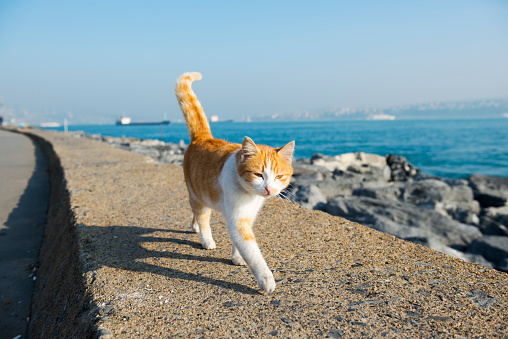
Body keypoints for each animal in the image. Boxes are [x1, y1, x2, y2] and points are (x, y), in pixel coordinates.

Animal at [176, 73, 292, 294]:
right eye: (258, 174)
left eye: (279, 177)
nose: (268, 189)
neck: (251, 196)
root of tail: (203, 137)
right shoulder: (238, 219)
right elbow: (252, 251)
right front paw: (266, 279)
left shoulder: (249, 214)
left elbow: (239, 243)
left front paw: (237, 257)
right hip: (197, 194)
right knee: (202, 216)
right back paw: (207, 239)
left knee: (196, 213)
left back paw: (194, 227)